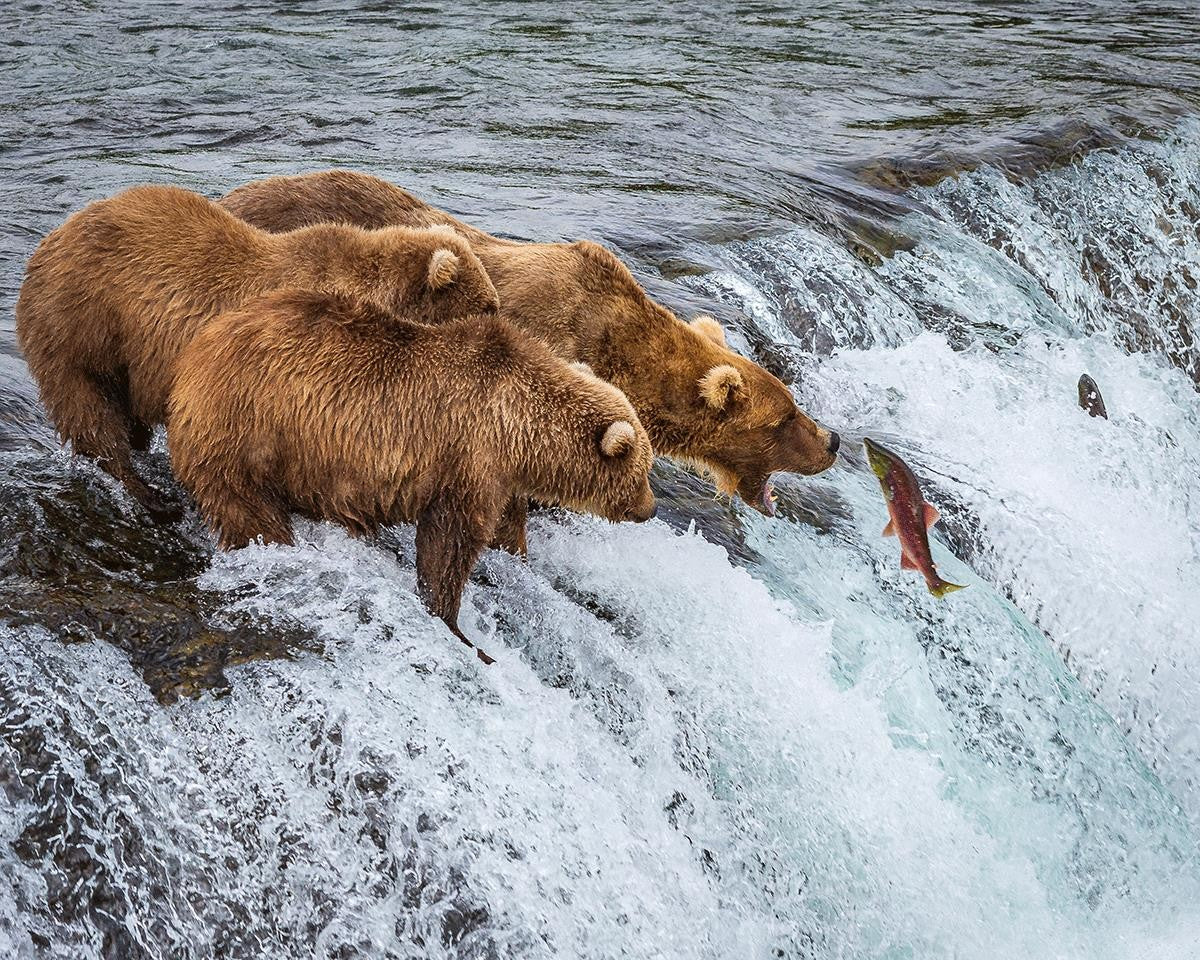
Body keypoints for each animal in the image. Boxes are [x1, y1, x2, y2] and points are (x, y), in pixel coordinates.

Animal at [15, 184, 500, 517]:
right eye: (488, 305)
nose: (503, 324)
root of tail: (47, 243)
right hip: (83, 323)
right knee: (90, 410)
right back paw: (148, 494)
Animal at [167, 287, 657, 663]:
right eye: (643, 470)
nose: (650, 509)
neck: (518, 427)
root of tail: (193, 356)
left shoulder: (499, 476)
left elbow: (504, 528)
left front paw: (515, 558)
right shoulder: (467, 458)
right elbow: (449, 543)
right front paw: (458, 627)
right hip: (247, 430)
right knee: (249, 510)